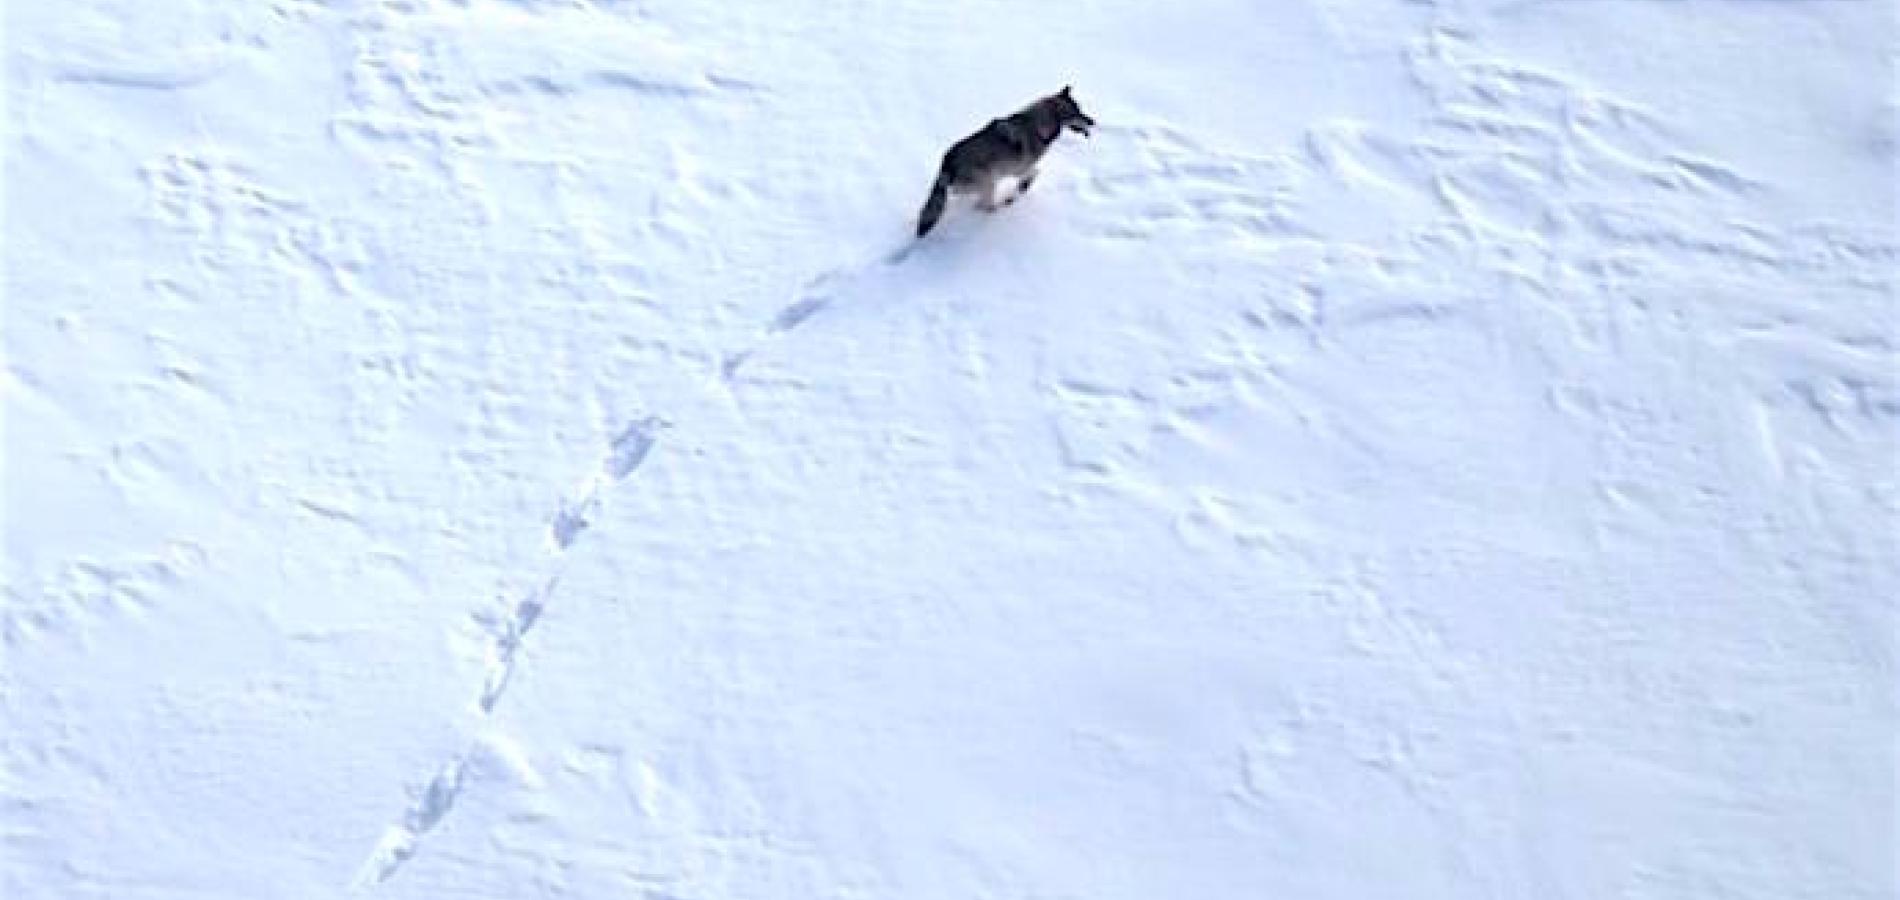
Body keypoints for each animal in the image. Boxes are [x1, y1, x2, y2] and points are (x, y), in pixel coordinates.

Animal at [915, 86, 1095, 237]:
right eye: (1076, 113)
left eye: (1080, 110)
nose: (1092, 121)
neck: (1037, 125)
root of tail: (947, 164)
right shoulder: (1021, 168)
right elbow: (1035, 172)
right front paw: (1022, 188)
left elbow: (1034, 173)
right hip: (989, 181)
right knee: (984, 206)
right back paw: (998, 212)